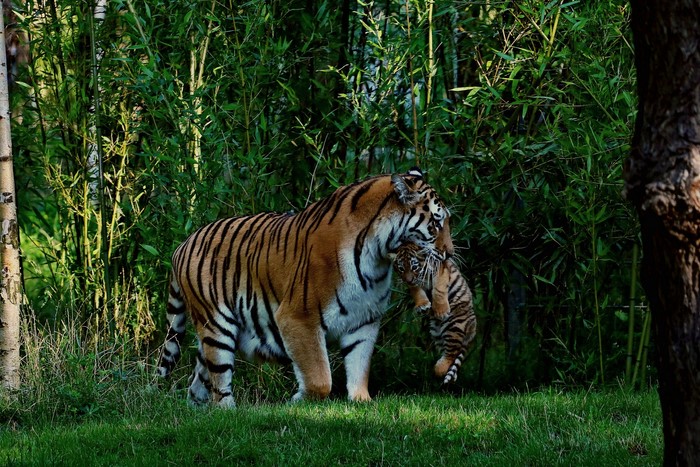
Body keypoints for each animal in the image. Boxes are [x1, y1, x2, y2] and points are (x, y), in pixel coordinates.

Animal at [156, 168, 453, 407]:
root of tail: (182, 245)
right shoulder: (299, 318)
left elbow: (359, 365)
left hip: (211, 336)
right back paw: (229, 411)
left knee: (197, 383)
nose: (449, 253)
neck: (377, 255)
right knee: (220, 381)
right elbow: (319, 378)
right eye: (436, 222)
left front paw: (361, 401)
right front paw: (298, 400)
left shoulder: (364, 321)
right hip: (217, 326)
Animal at [392, 237, 477, 385]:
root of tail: (473, 329)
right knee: (452, 352)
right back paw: (449, 375)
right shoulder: (415, 284)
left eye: (414, 267)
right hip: (437, 332)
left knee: (452, 352)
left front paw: (441, 311)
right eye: (401, 268)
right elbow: (417, 292)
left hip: (454, 324)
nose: (408, 280)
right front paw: (422, 306)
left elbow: (438, 290)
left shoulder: (441, 271)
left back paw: (439, 369)